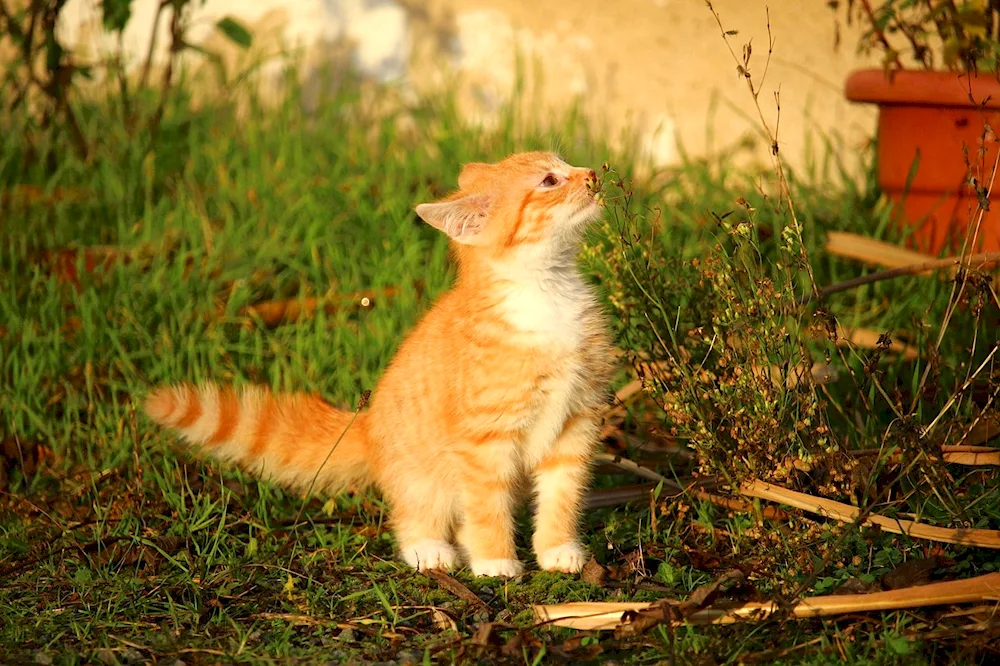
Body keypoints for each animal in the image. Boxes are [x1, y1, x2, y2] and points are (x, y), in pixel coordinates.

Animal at [146, 152, 616, 576]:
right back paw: (429, 548)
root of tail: (368, 424)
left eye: (565, 162)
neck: (547, 293)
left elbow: (562, 493)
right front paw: (495, 560)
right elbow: (486, 503)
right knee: (417, 513)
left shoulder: (576, 420)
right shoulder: (484, 440)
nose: (592, 173)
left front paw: (557, 548)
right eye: (549, 180)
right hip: (422, 475)